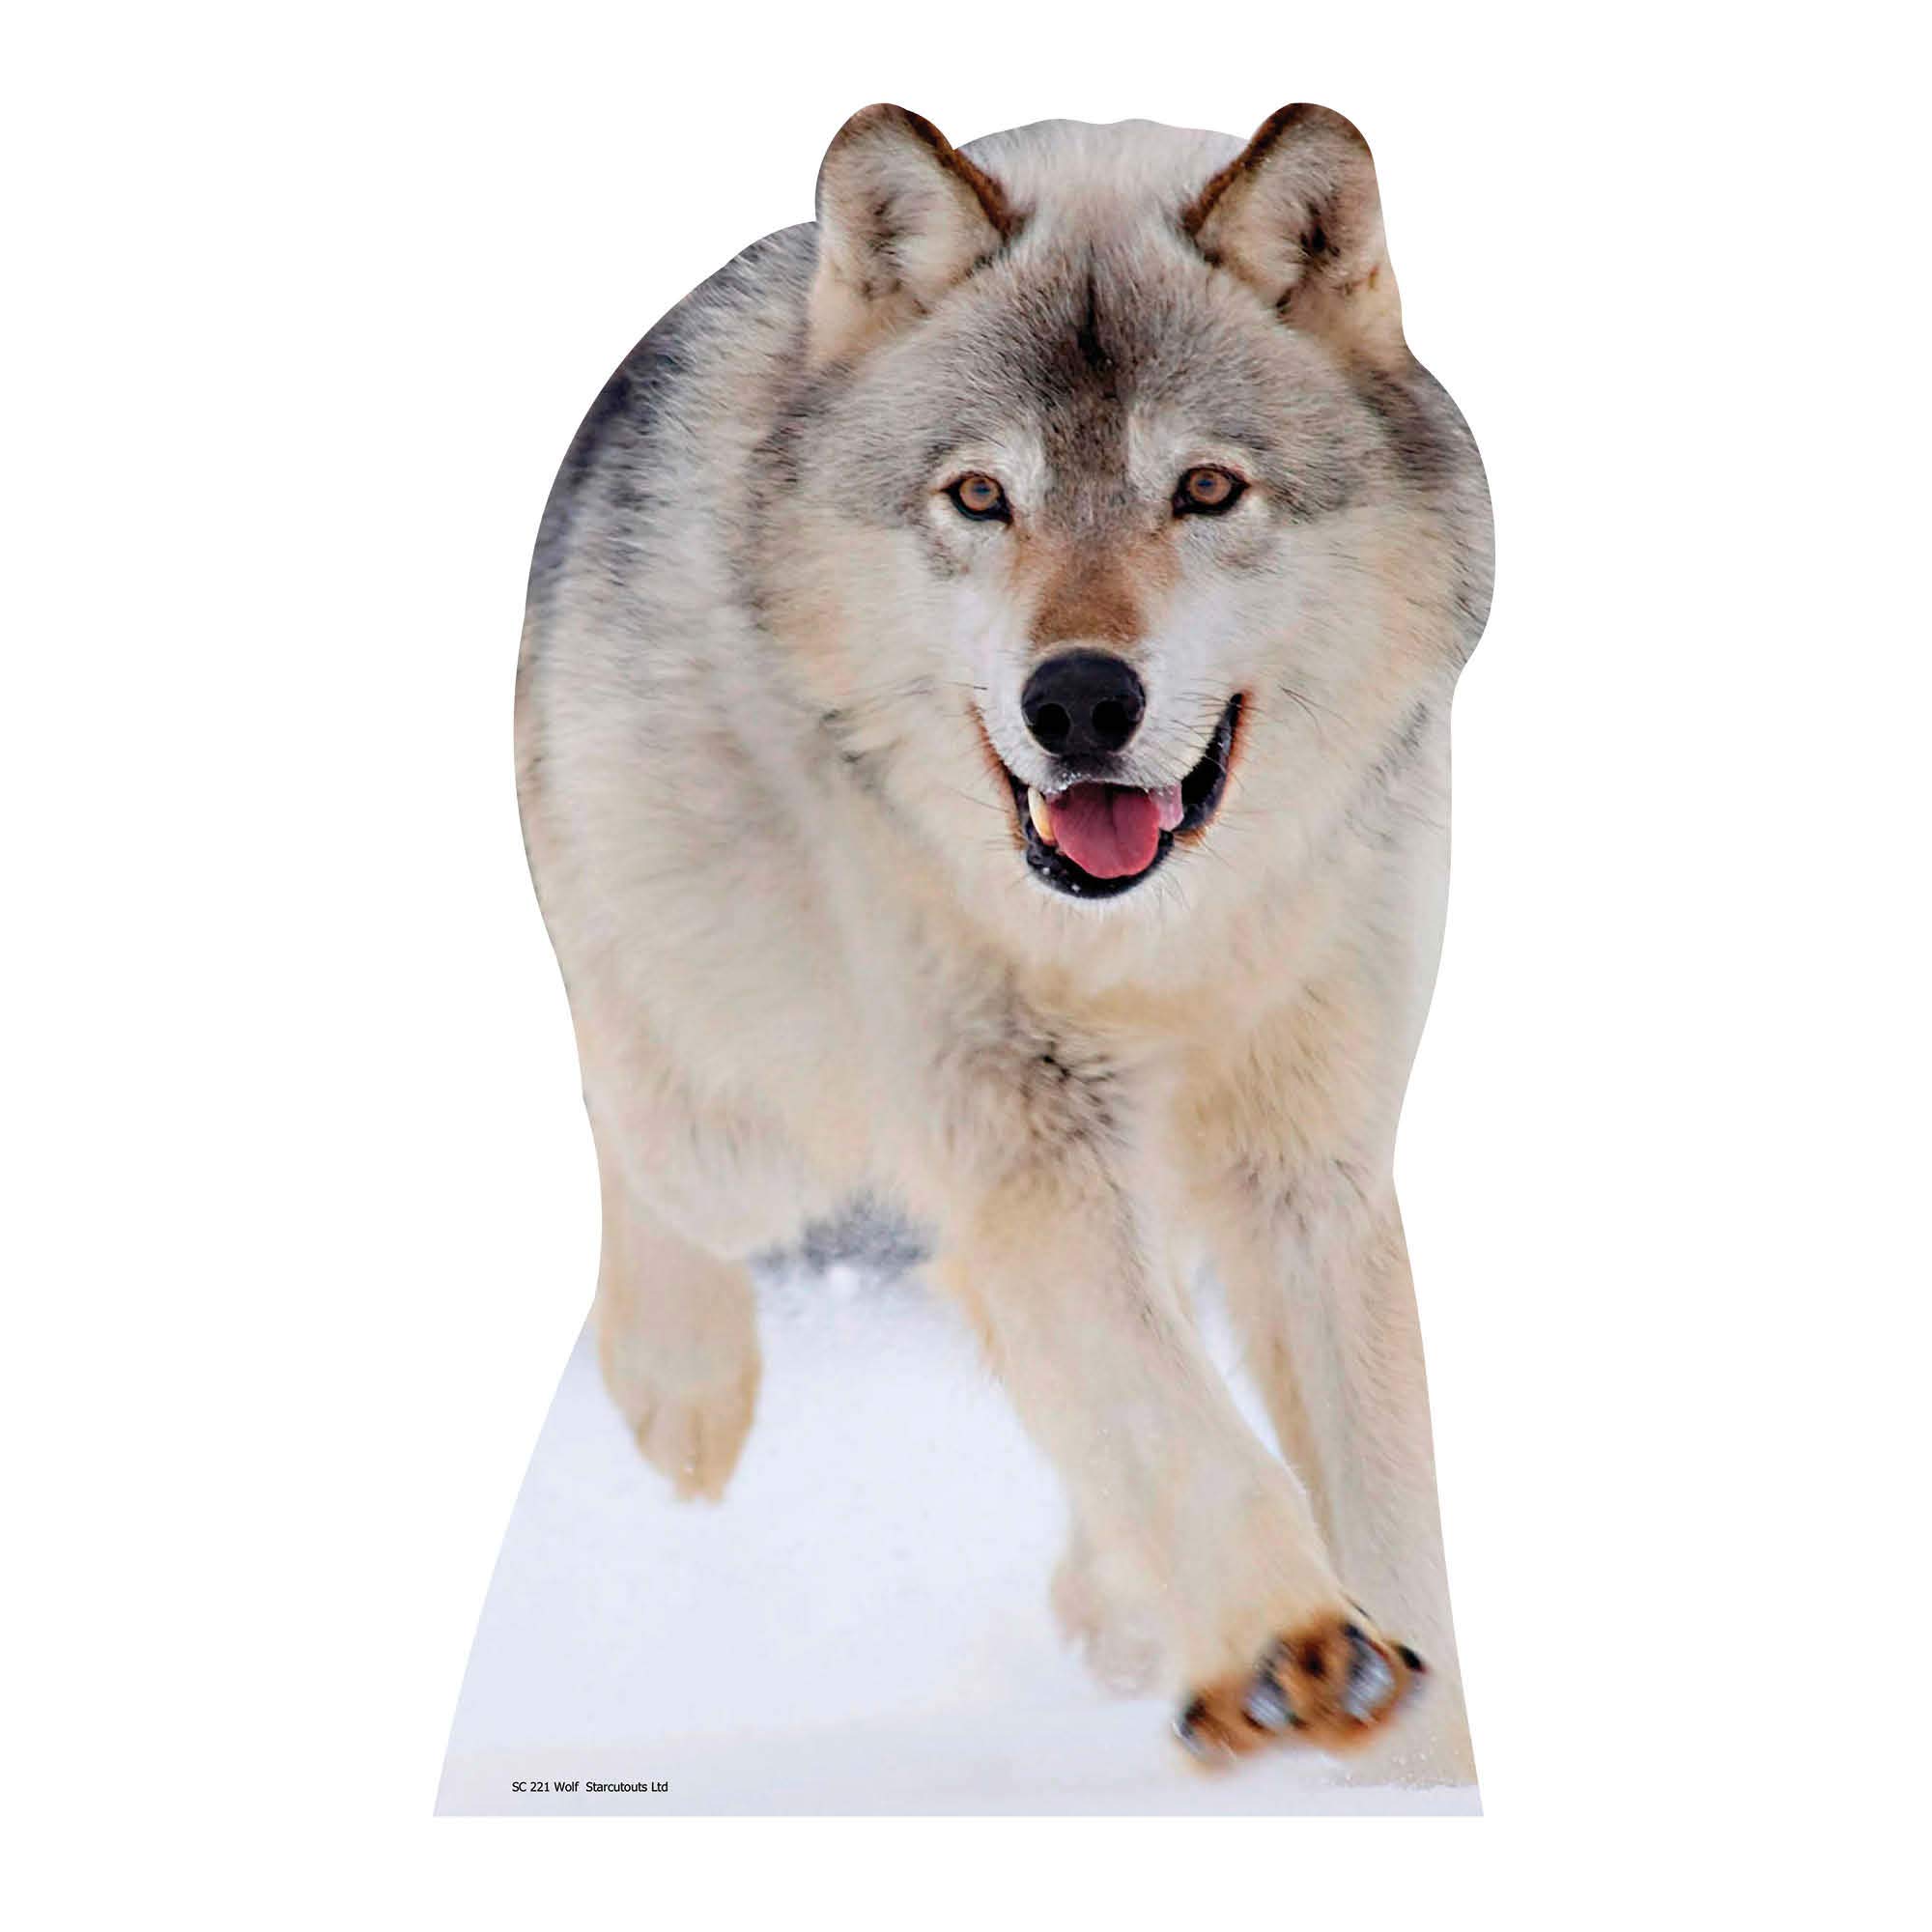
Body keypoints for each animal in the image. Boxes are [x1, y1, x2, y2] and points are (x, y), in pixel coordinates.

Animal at [515, 104, 1493, 1780]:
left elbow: (1381, 1513)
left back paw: (1124, 1615)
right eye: (980, 497)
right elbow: (1174, 1420)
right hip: (745, 1118)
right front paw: (1294, 1645)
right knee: (635, 1130)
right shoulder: (1017, 1127)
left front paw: (1405, 1753)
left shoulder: (1311, 1170)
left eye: (1207, 489)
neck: (1155, 944)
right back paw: (681, 1398)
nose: (1080, 700)